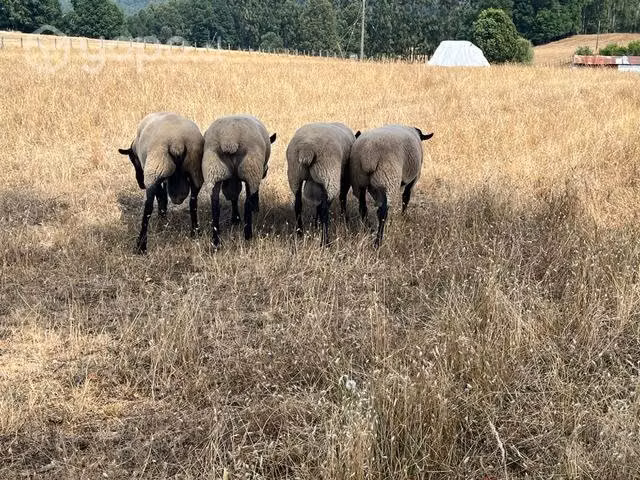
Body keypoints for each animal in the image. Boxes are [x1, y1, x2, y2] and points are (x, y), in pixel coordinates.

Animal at [118, 112, 204, 253]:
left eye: (132, 159)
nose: (140, 184)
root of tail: (177, 143)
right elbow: (163, 197)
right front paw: (163, 217)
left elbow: (161, 197)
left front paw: (162, 217)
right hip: (195, 169)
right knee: (193, 203)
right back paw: (195, 232)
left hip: (155, 169)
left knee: (148, 209)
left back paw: (141, 246)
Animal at [202, 115, 276, 247]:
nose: (265, 172)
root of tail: (230, 139)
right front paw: (255, 209)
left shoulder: (233, 179)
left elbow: (234, 195)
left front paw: (235, 219)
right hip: (251, 168)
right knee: (247, 202)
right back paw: (248, 235)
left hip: (213, 169)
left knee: (215, 205)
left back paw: (216, 241)